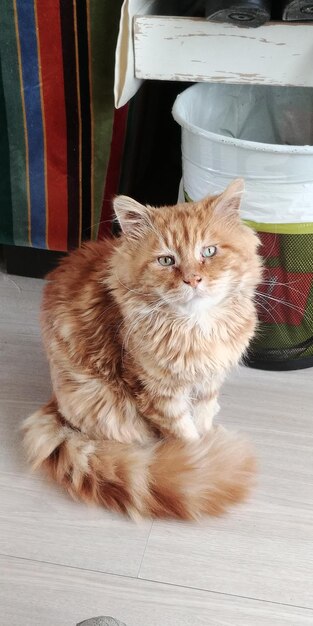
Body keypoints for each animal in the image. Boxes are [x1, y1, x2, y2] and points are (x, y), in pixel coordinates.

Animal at [22, 179, 260, 516]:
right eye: (166, 260)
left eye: (209, 251)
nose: (193, 279)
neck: (196, 329)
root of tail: (55, 404)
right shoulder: (157, 394)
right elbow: (186, 435)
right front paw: (201, 461)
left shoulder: (207, 384)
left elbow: (201, 420)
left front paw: (209, 445)